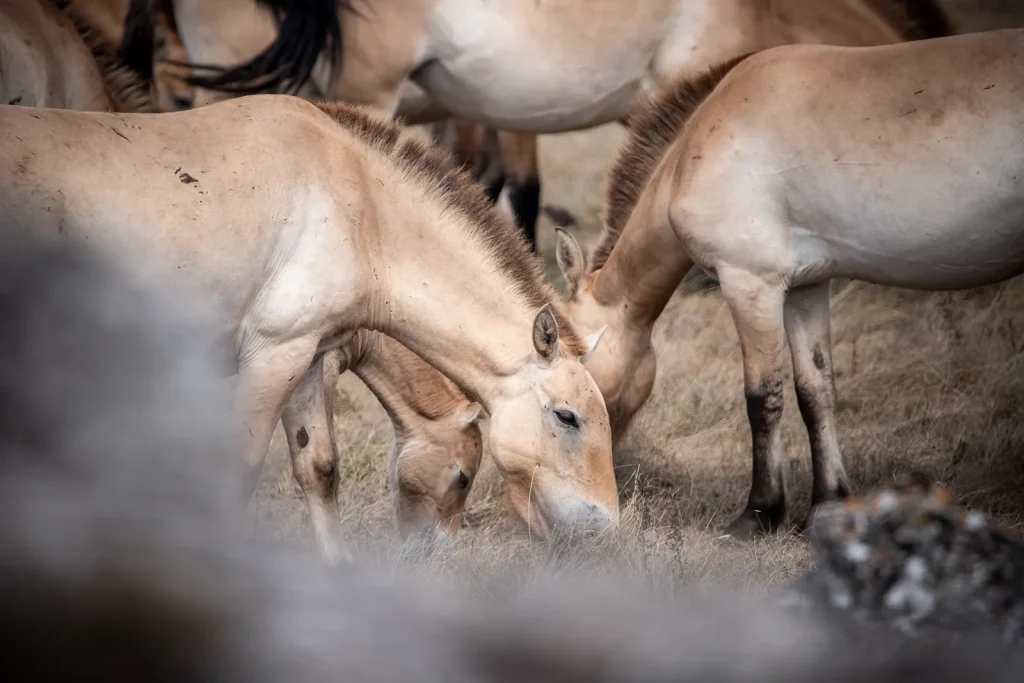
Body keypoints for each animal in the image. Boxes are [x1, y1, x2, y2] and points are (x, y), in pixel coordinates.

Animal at [0, 95, 617, 559]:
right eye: (567, 417)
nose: (603, 528)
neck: (362, 207)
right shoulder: (273, 357)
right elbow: (238, 474)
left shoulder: (308, 358)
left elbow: (318, 468)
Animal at [554, 27, 1024, 539]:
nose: (599, 473)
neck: (694, 148)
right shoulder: (806, 289)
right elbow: (816, 392)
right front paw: (828, 505)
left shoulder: (750, 285)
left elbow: (764, 398)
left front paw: (759, 513)